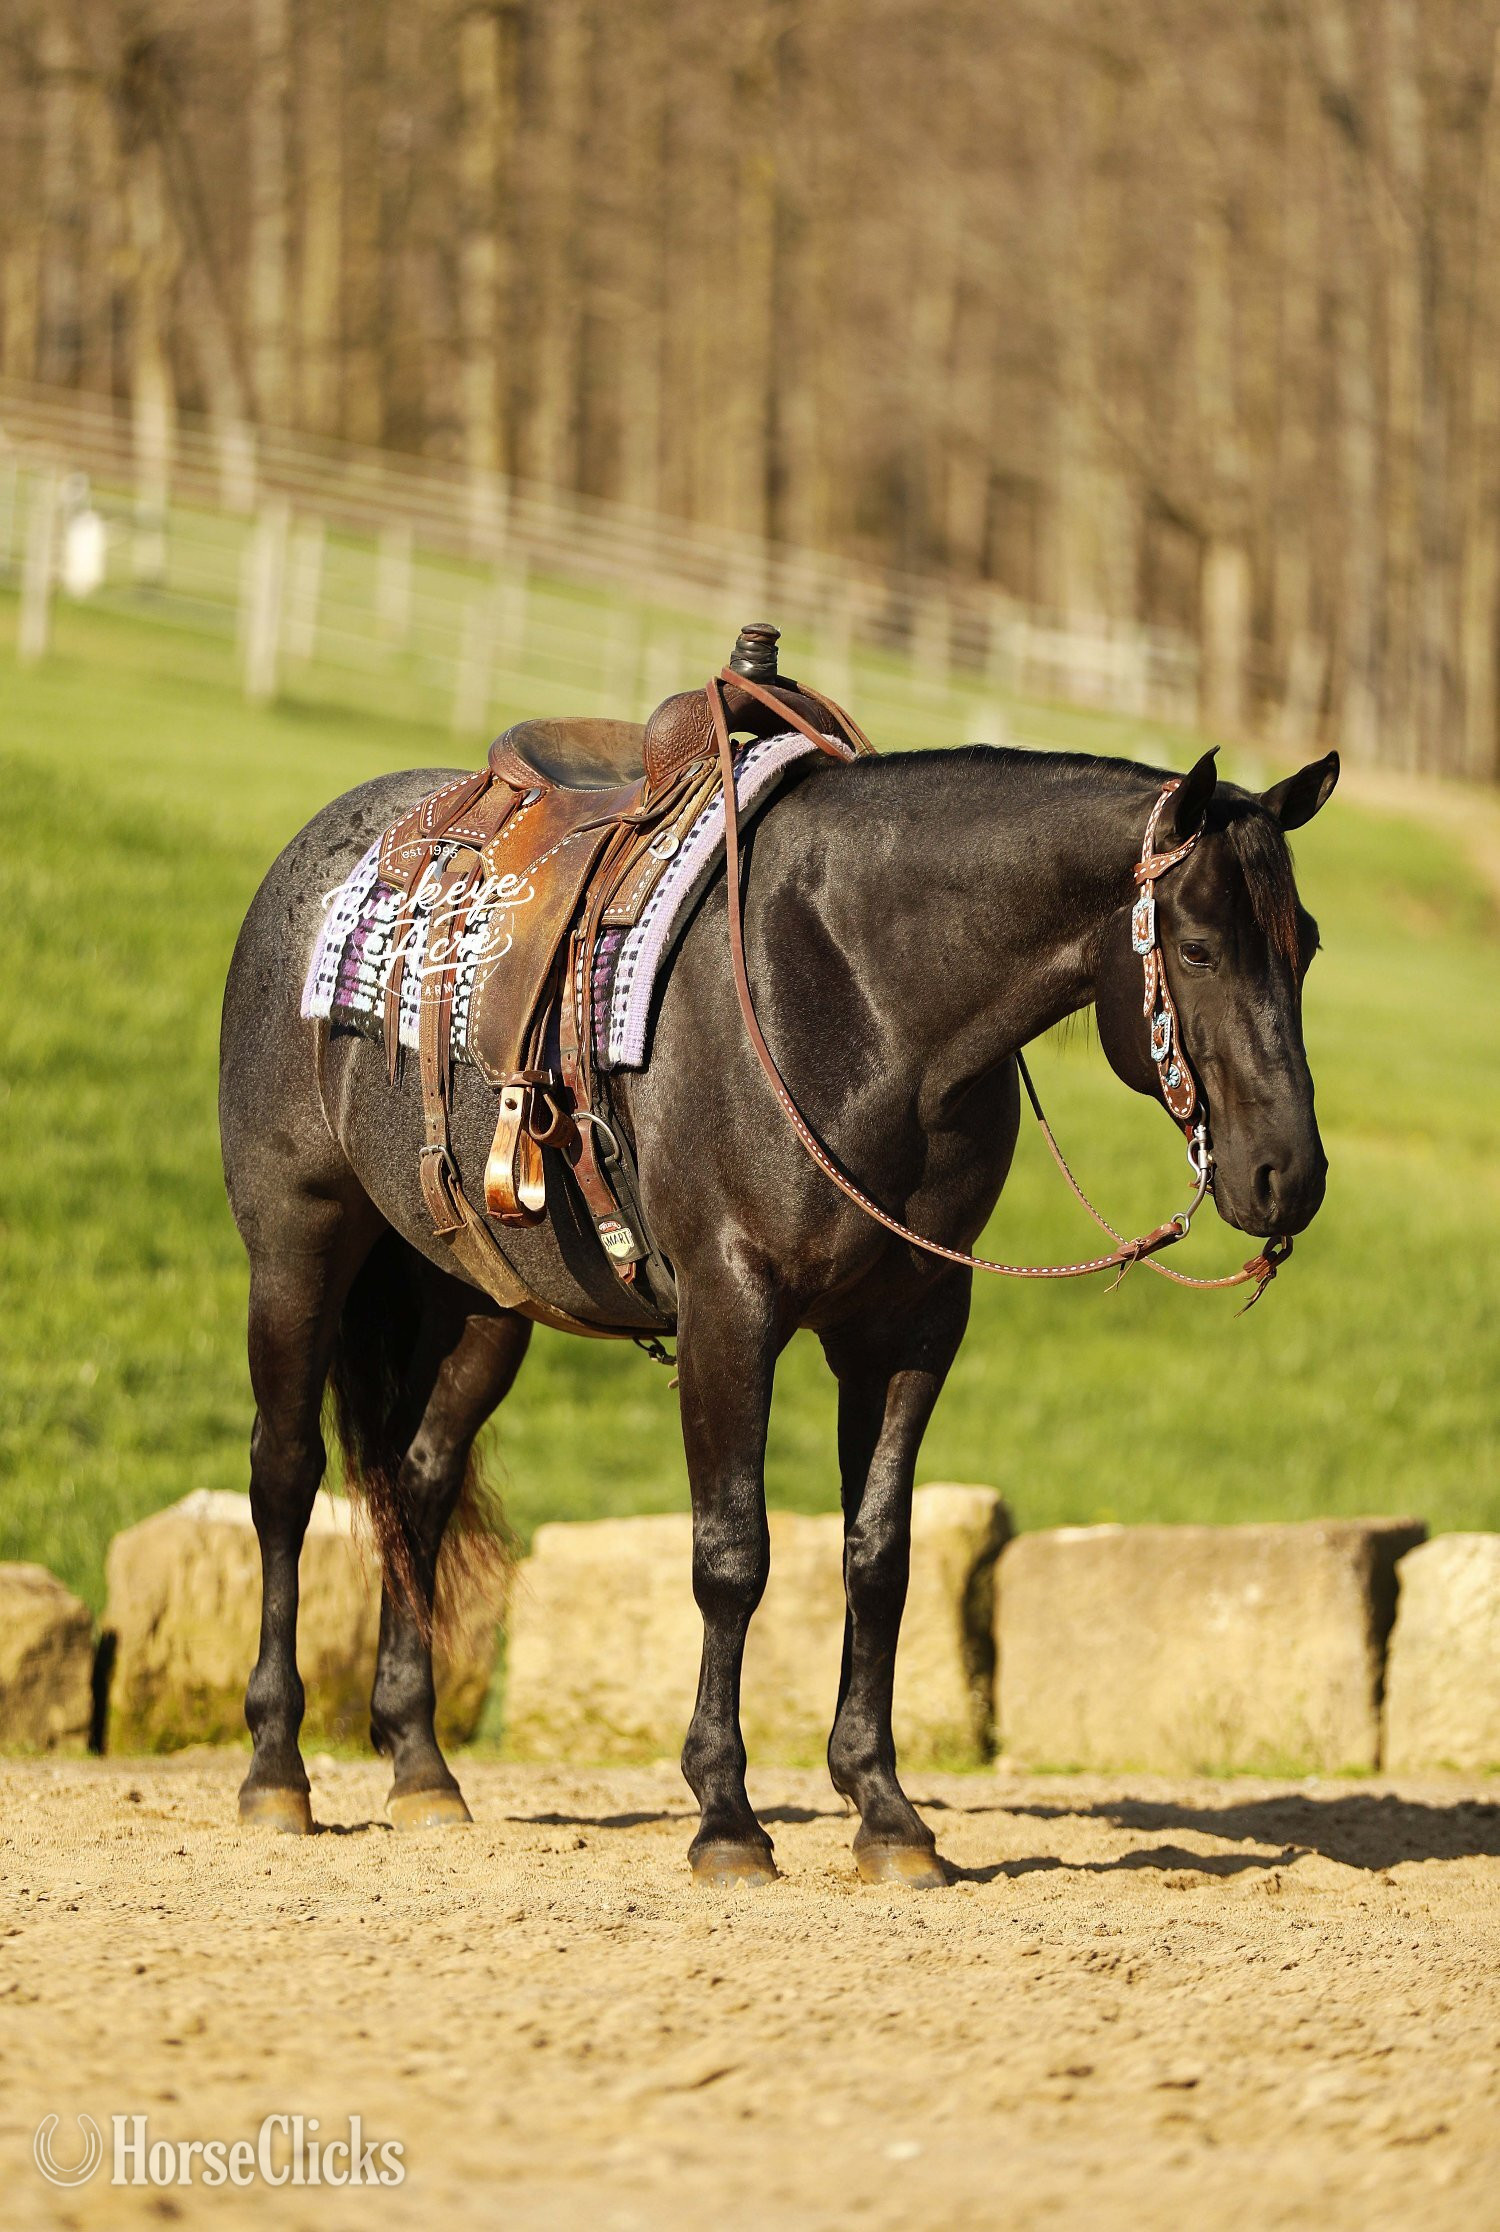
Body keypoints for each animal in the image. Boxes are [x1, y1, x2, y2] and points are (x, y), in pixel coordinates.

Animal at [218, 728, 1337, 1883]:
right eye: (1197, 949)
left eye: (1306, 945)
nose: (1287, 1177)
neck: (860, 996)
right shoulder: (731, 1310)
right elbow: (732, 1556)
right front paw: (726, 1816)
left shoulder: (910, 1330)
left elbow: (878, 1558)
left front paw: (886, 1811)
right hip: (298, 1249)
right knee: (286, 1475)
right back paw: (275, 1771)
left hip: (481, 1305)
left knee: (420, 1484)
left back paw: (421, 1768)